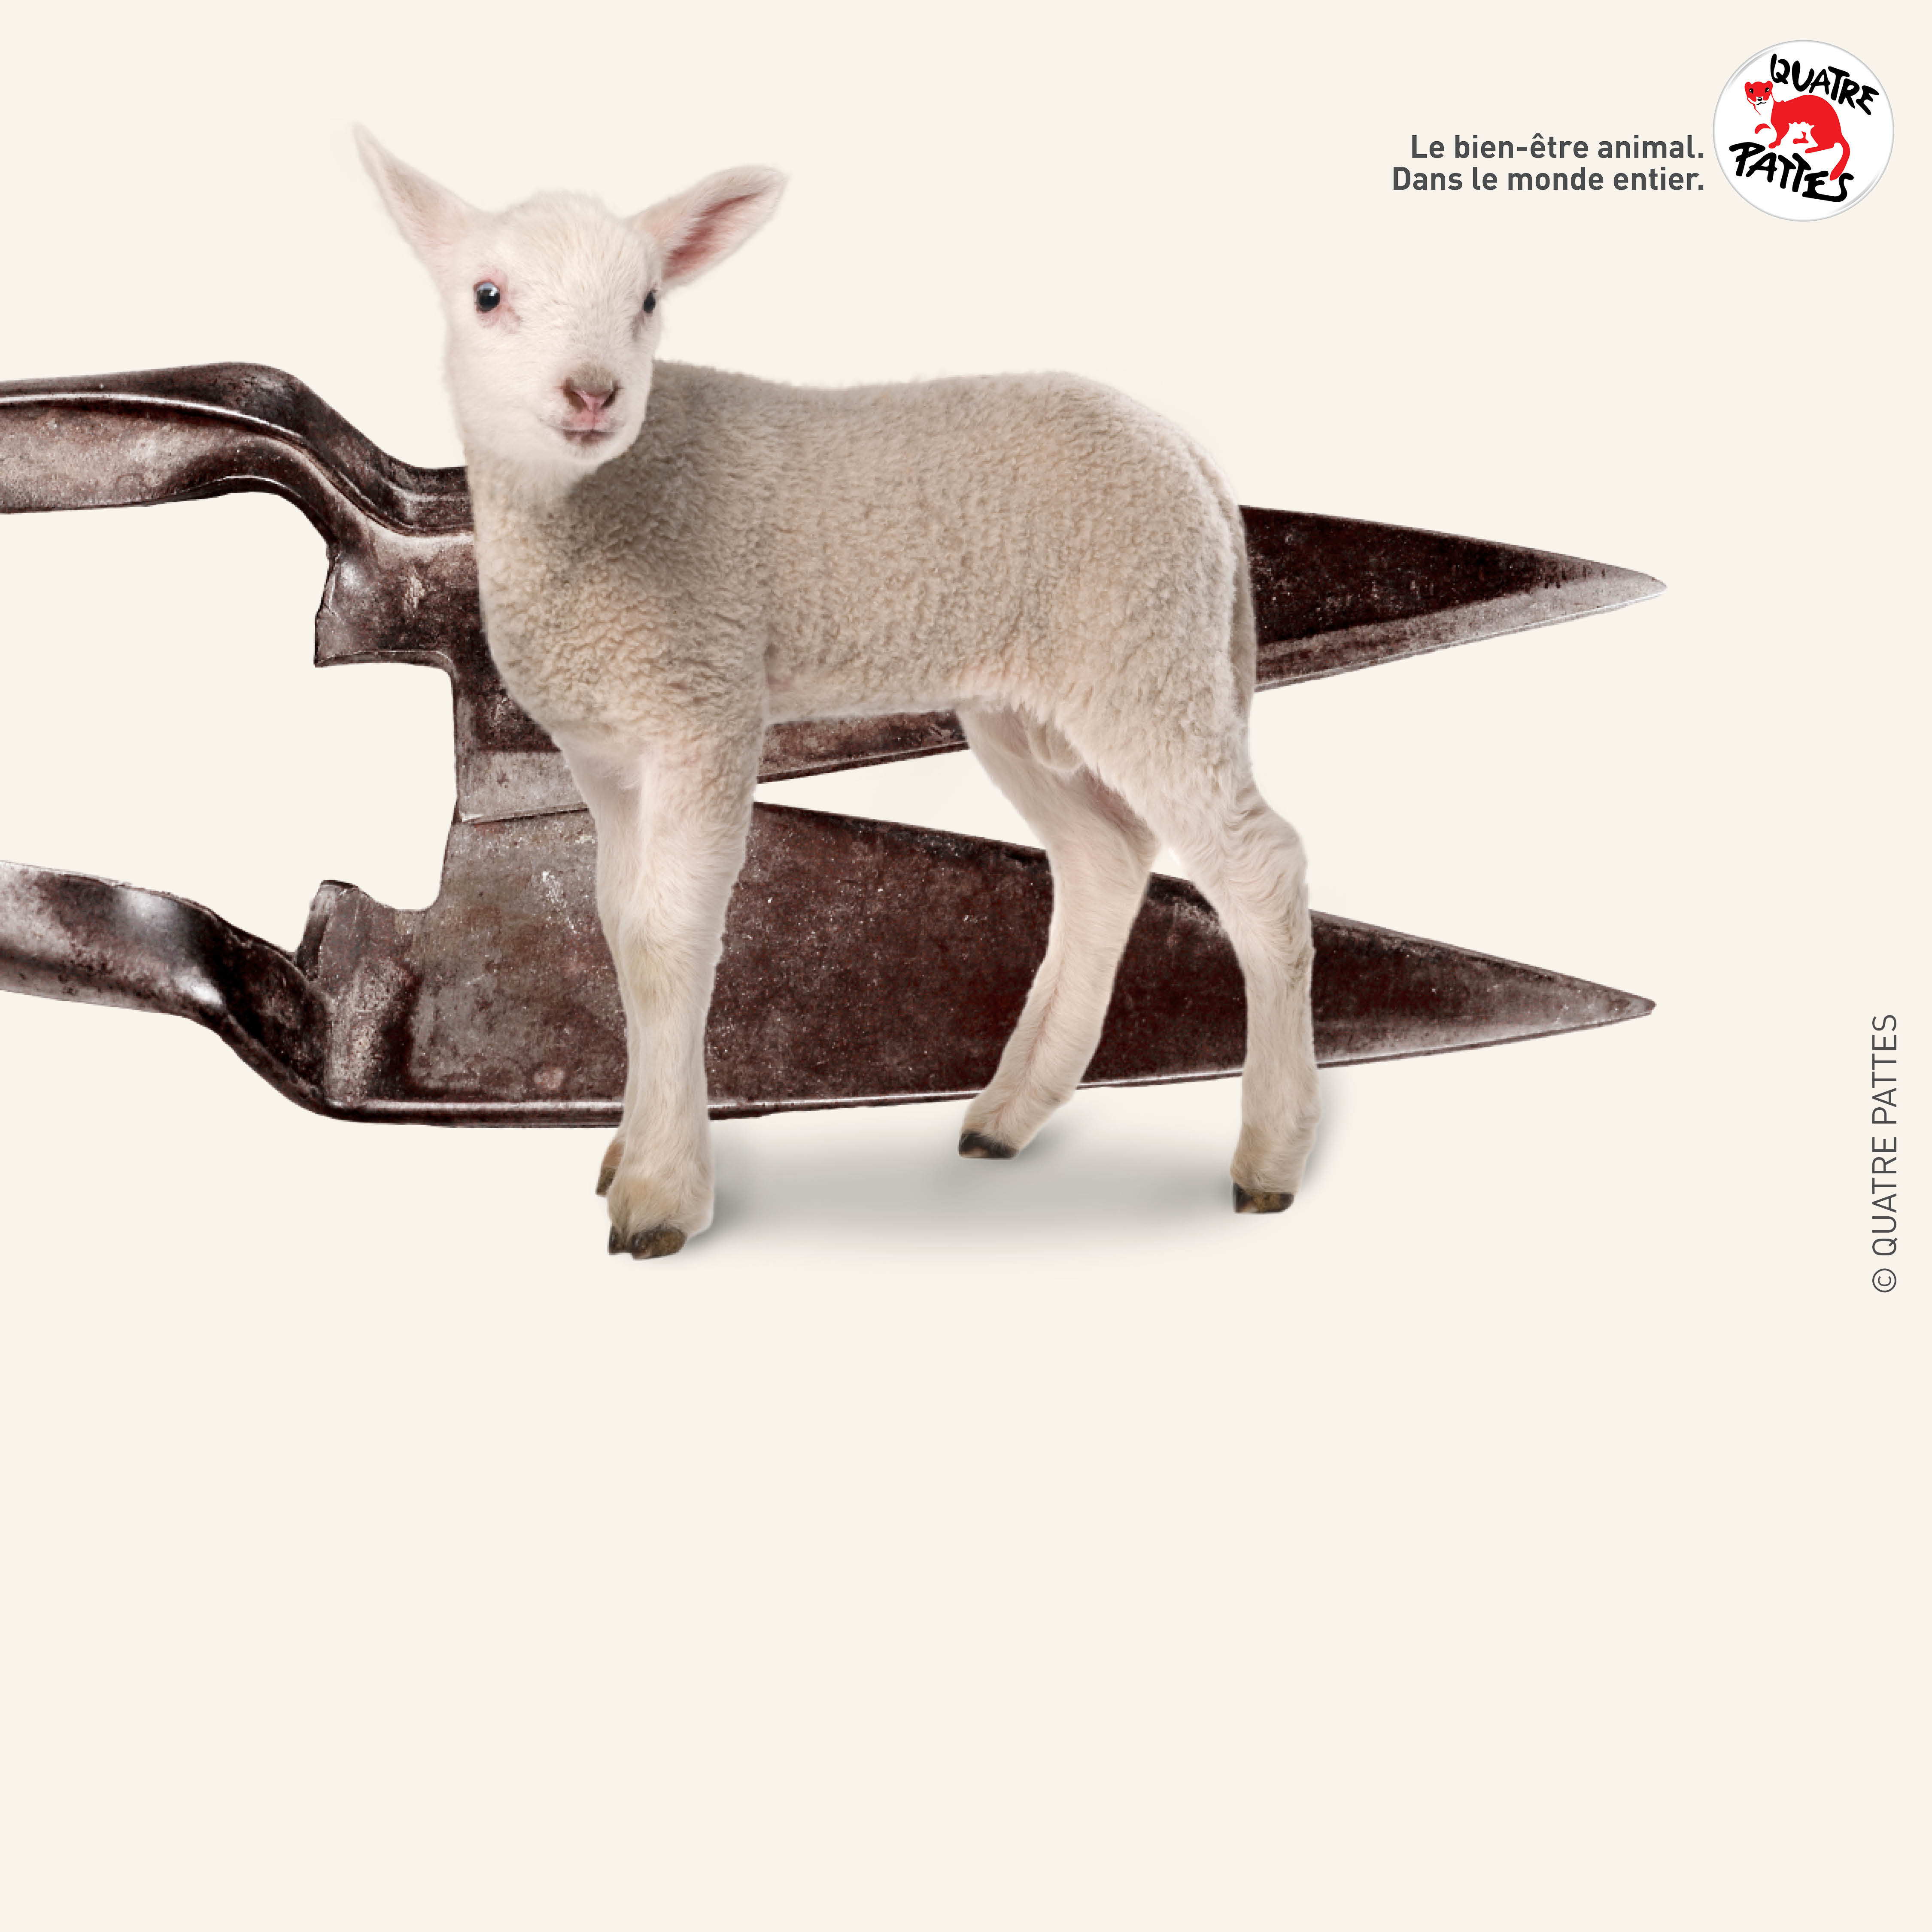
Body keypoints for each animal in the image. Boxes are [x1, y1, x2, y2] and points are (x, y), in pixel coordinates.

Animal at [356, 131, 1320, 1258]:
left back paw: (1270, 1157)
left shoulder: (704, 701)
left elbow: (669, 937)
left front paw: (662, 1190)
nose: (594, 393)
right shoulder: (607, 749)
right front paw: (629, 1147)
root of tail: (1191, 459)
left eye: (649, 299)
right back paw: (1008, 1113)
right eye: (488, 294)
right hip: (1032, 694)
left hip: (1145, 650)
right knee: (1104, 858)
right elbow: (619, 929)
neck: (592, 515)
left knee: (1259, 866)